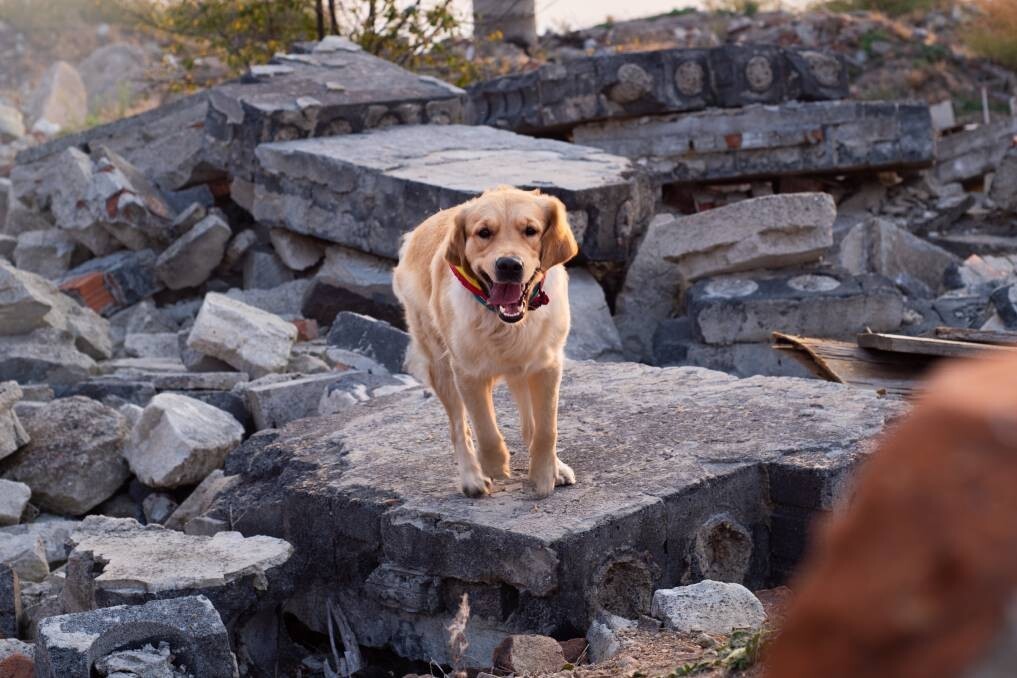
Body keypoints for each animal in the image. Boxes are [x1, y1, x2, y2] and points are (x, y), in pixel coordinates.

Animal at [390, 186, 577, 498]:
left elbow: (546, 428)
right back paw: (472, 479)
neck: (504, 322)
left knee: (530, 424)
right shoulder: (466, 372)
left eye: (530, 230)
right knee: (458, 428)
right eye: (484, 232)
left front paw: (544, 473)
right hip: (440, 366)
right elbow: (484, 428)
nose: (509, 265)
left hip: (522, 371)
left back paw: (557, 467)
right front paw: (494, 465)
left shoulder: (547, 365)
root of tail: (415, 233)